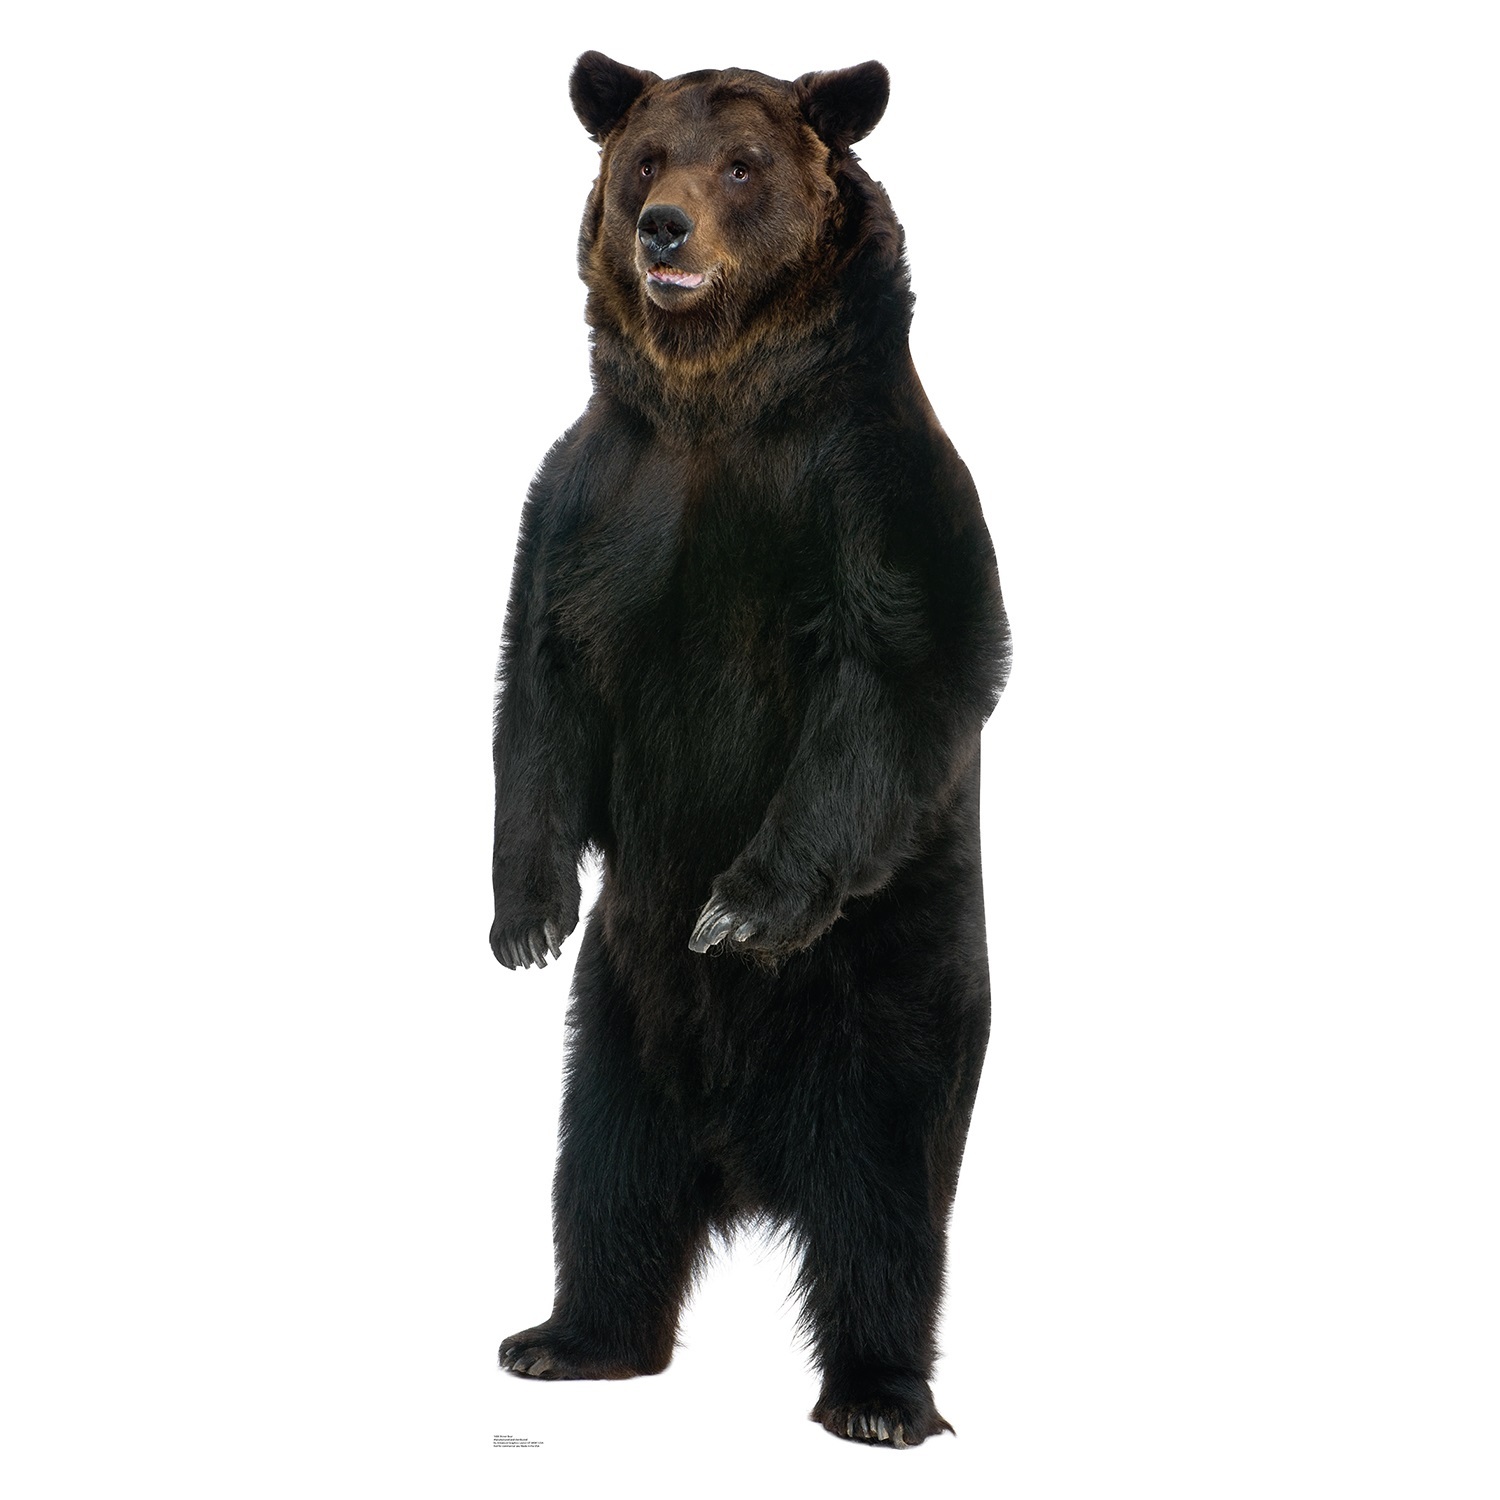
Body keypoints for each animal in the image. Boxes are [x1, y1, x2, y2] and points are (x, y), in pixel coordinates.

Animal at [490, 52, 1011, 1448]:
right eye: (644, 160)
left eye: (743, 165)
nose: (664, 229)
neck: (716, 400)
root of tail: (746, 1160)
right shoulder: (596, 497)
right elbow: (541, 686)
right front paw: (525, 914)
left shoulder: (867, 490)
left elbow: (895, 676)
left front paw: (738, 909)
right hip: (618, 1027)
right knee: (603, 1177)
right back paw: (569, 1338)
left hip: (893, 997)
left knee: (886, 1208)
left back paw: (879, 1397)